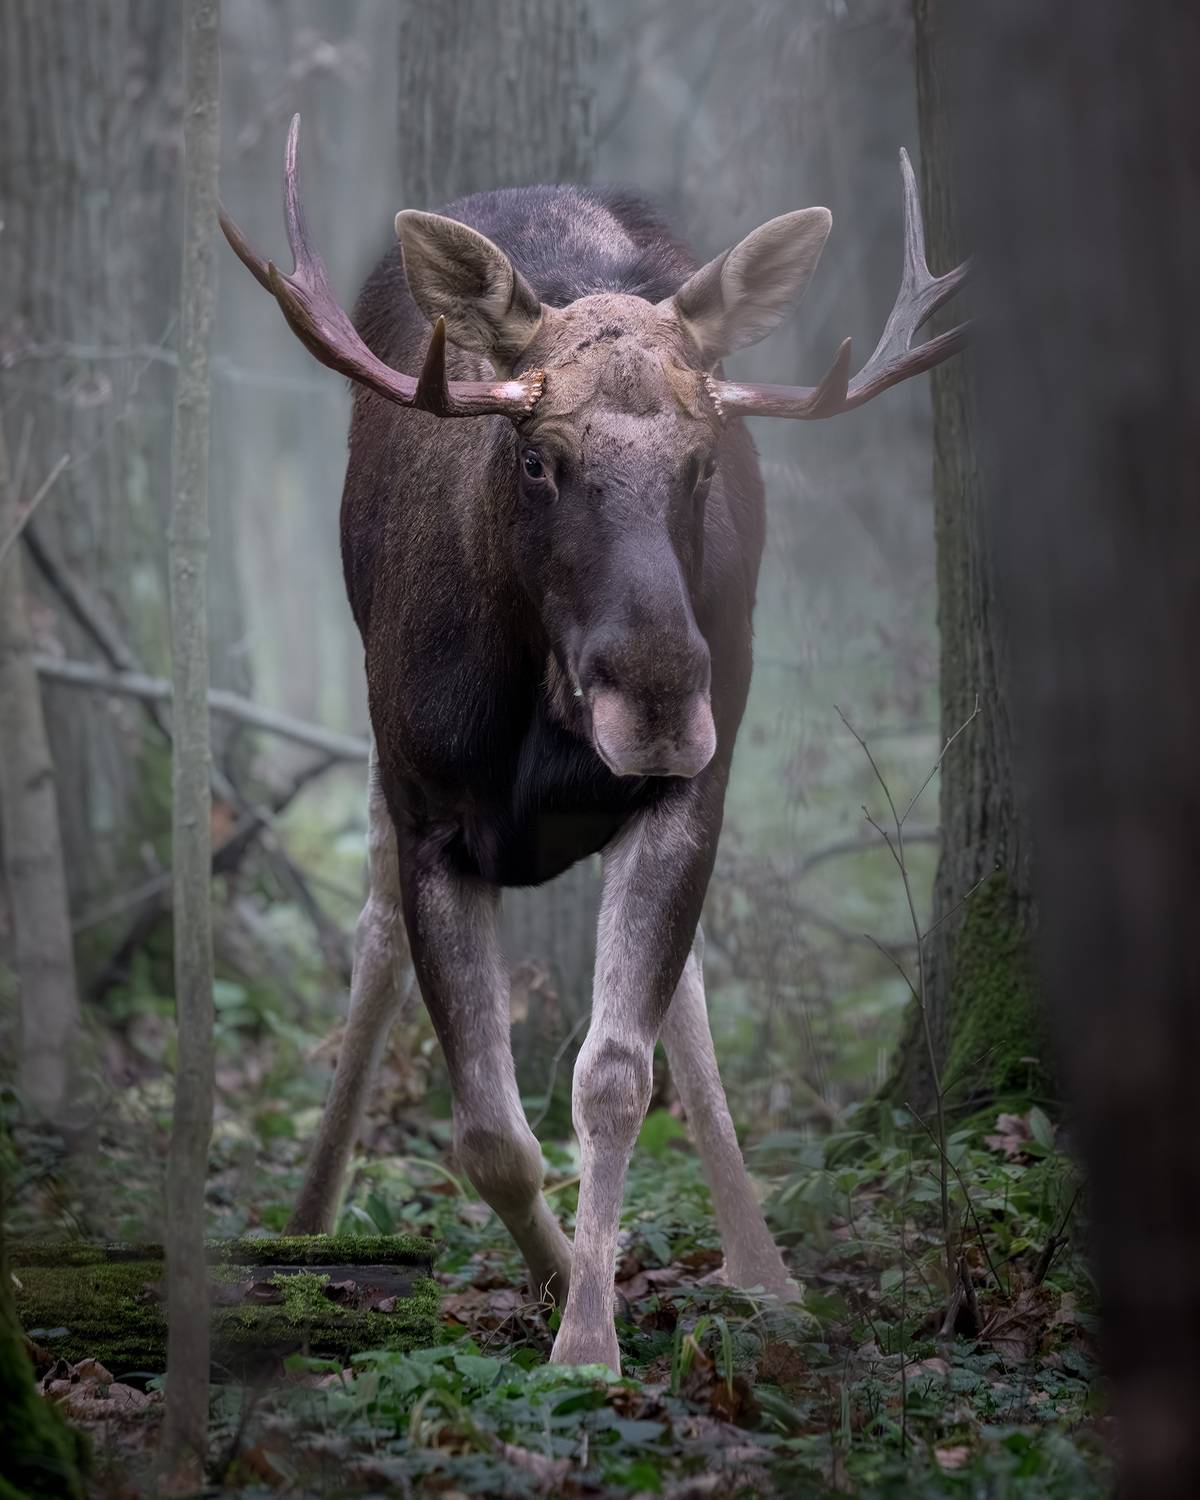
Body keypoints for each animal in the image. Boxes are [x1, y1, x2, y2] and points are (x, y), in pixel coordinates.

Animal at [220, 116, 966, 1372]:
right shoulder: (429, 808)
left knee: (688, 992)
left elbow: (617, 1071)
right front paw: (563, 1281)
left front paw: (590, 1330)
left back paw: (763, 1268)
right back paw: (307, 1224)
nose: (660, 696)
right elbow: (484, 1132)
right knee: (371, 940)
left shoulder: (686, 789)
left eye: (706, 460)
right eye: (536, 454)